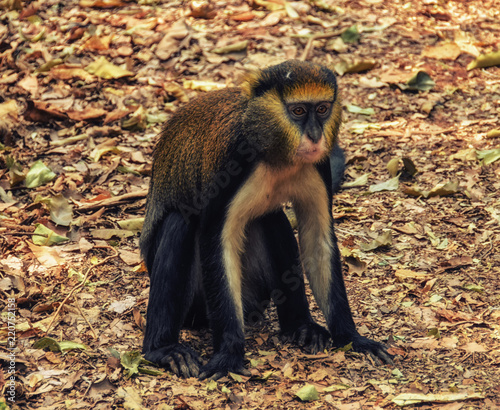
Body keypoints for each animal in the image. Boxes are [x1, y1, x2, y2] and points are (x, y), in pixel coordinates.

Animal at [139, 59, 392, 380]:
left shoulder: (319, 164)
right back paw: (162, 349)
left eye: (322, 109)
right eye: (299, 111)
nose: (315, 136)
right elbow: (216, 241)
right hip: (197, 306)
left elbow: (317, 238)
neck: (276, 152)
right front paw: (228, 355)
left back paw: (300, 327)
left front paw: (351, 337)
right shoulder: (233, 158)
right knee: (178, 223)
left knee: (272, 219)